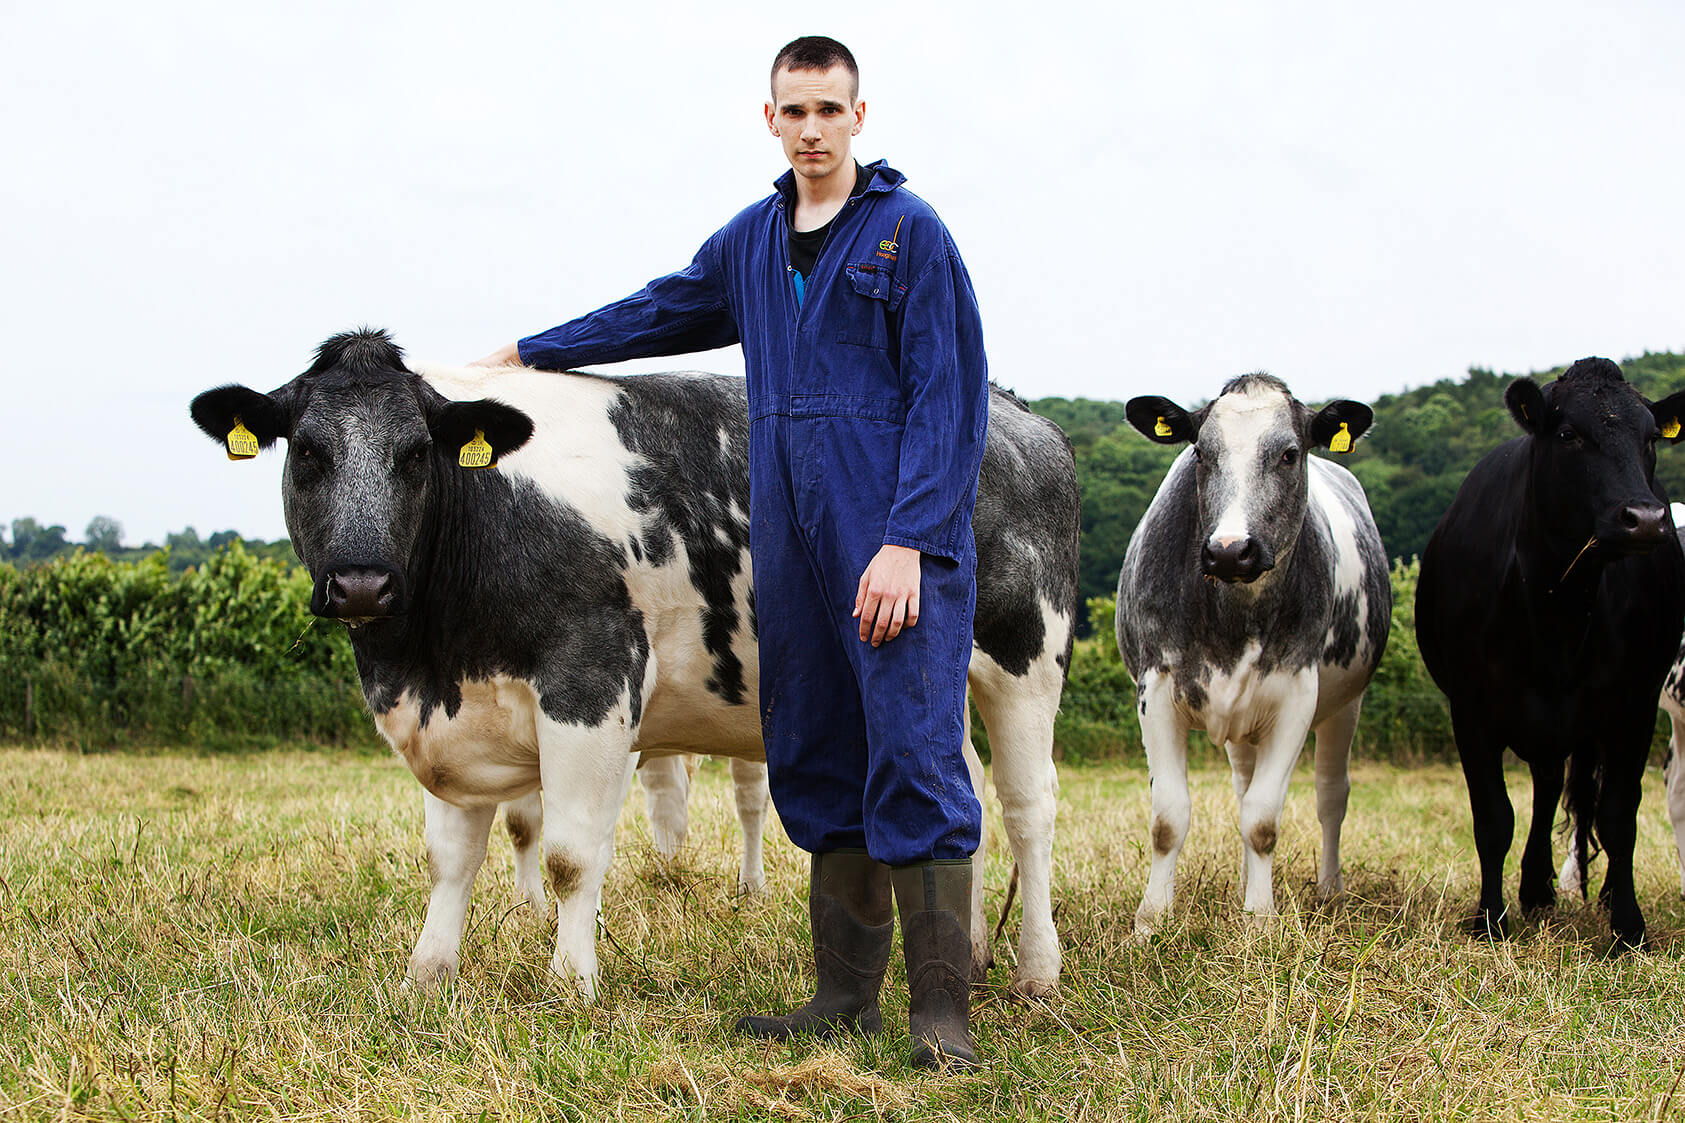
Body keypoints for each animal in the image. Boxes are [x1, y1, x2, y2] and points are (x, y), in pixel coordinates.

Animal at [187, 328, 1078, 991]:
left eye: (414, 453)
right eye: (307, 451)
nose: (362, 580)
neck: (427, 652)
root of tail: (1015, 412)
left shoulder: (592, 678)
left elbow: (570, 854)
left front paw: (569, 983)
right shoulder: (454, 712)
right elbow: (450, 858)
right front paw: (426, 974)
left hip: (1024, 655)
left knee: (1027, 807)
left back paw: (1035, 970)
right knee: (953, 793)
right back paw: (963, 952)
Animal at [1112, 370, 1388, 930]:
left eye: (1289, 454)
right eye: (1201, 452)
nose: (1229, 550)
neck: (1234, 613)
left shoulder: (1296, 697)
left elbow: (1263, 819)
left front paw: (1260, 918)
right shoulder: (1157, 689)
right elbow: (1168, 816)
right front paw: (1151, 920)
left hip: (1345, 705)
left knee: (1331, 796)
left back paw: (1330, 888)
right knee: (1243, 785)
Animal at [1422, 355, 1685, 944]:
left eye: (1651, 437)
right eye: (1569, 434)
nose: (1645, 518)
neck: (1556, 608)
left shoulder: (1634, 707)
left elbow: (1619, 815)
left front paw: (1627, 927)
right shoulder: (1470, 710)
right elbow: (1493, 818)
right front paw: (1488, 920)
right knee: (1545, 788)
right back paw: (1536, 888)